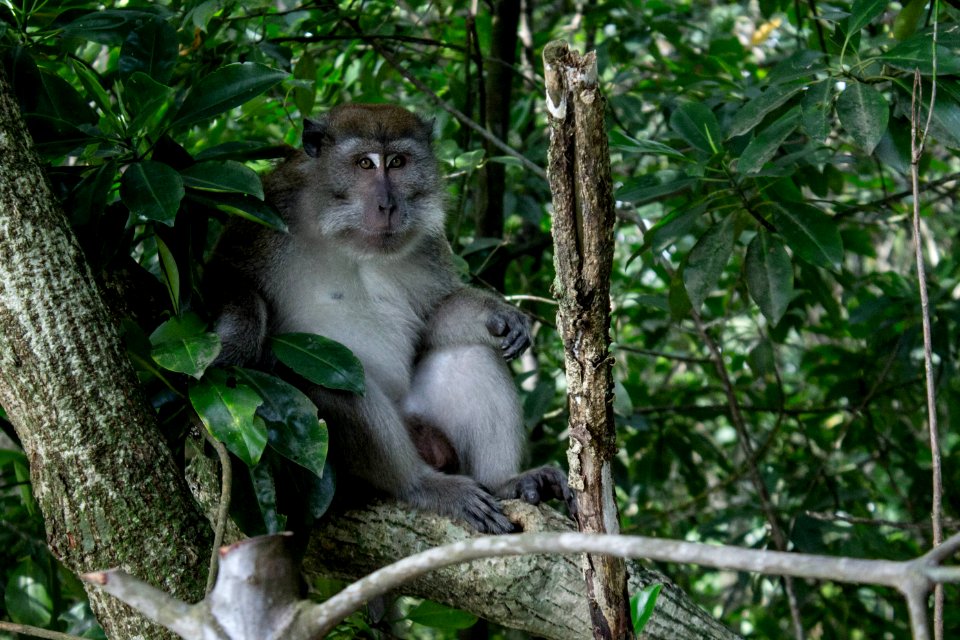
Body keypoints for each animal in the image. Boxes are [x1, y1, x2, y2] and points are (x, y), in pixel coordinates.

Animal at [206, 104, 572, 536]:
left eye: (397, 163)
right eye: (364, 164)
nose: (387, 204)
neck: (347, 235)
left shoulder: (429, 242)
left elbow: (432, 316)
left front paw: (496, 314)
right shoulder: (266, 213)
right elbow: (222, 279)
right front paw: (237, 342)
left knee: (470, 354)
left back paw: (505, 482)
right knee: (335, 379)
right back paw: (421, 485)